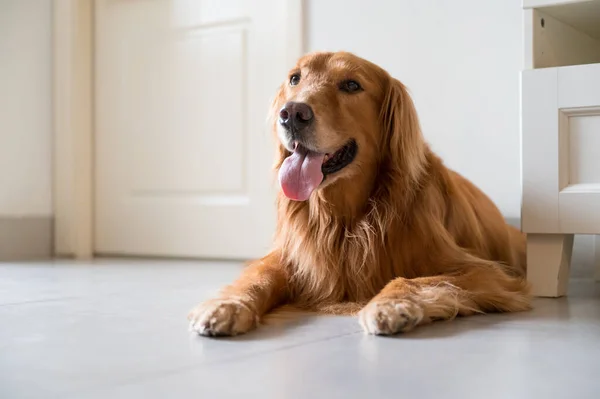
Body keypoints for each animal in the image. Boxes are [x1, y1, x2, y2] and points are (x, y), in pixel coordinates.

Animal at [188, 50, 528, 338]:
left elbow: (413, 280)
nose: (292, 113)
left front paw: (390, 304)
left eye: (351, 85)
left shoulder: (485, 271)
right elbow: (259, 275)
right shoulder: (295, 257)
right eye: (295, 78)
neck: (343, 219)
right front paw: (226, 304)